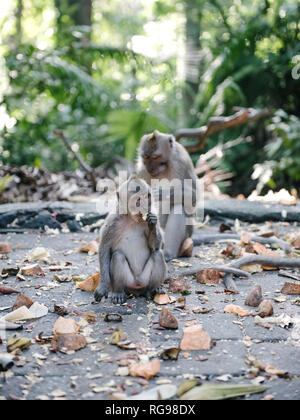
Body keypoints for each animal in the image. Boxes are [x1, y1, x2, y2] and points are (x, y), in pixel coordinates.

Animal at [94, 175, 166, 306]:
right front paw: (103, 286)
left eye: (147, 197)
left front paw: (152, 224)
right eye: (138, 200)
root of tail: (137, 288)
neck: (132, 219)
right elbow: (104, 248)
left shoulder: (153, 213)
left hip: (144, 280)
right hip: (129, 283)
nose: (145, 207)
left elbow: (157, 247)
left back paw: (152, 290)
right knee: (118, 256)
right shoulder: (113, 221)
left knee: (157, 254)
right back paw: (118, 293)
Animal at [135, 130, 197, 260]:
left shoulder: (182, 161)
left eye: (155, 157)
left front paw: (162, 192)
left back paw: (168, 252)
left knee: (179, 206)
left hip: (188, 233)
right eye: (146, 157)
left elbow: (194, 196)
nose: (150, 168)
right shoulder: (141, 169)